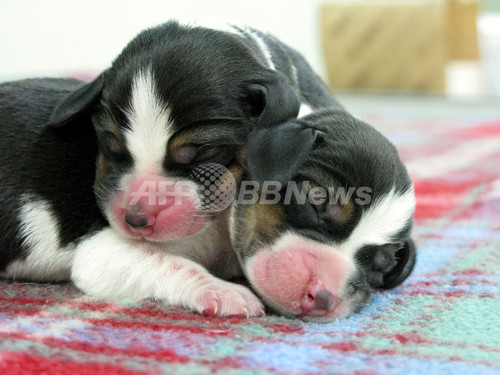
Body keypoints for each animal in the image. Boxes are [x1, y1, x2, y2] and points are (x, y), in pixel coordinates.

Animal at [0, 21, 336, 318]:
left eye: (201, 152)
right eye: (111, 143)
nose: (135, 219)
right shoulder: (101, 252)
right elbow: (166, 261)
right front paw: (225, 291)